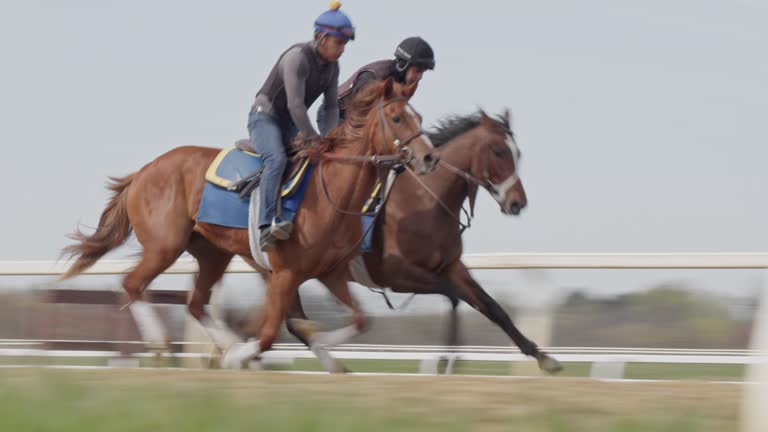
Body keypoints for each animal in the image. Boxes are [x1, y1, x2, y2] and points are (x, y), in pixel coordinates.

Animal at [60, 79, 436, 366]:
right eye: (397, 117)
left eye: (417, 116)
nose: (429, 157)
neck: (331, 191)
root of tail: (143, 171)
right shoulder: (285, 274)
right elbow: (270, 334)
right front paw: (244, 354)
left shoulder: (330, 272)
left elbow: (360, 319)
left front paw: (321, 347)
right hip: (165, 245)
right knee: (132, 284)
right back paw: (163, 341)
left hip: (213, 253)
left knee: (195, 302)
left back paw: (225, 343)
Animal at [282, 111, 564, 374]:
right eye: (498, 151)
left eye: (518, 153)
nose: (518, 203)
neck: (425, 201)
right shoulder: (396, 275)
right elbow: (453, 295)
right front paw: (446, 360)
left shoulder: (451, 266)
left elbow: (492, 307)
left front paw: (542, 356)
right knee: (293, 321)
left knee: (292, 321)